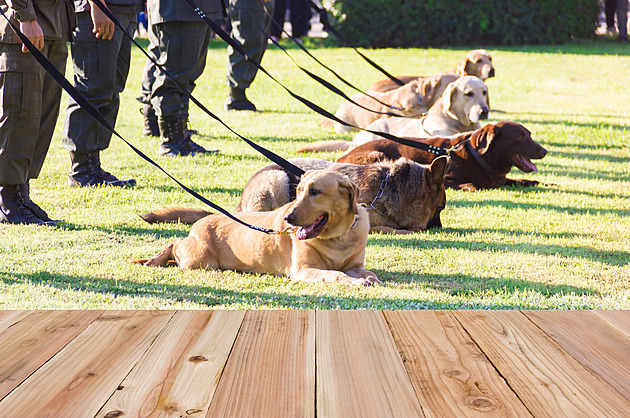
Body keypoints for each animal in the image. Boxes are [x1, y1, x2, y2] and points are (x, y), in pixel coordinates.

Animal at [132, 169, 380, 284]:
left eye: (315, 192)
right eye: (298, 191)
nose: (288, 218)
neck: (337, 239)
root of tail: (206, 218)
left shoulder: (354, 264)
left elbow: (366, 271)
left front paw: (369, 278)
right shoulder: (304, 270)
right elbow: (335, 274)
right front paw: (355, 282)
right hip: (200, 259)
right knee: (175, 243)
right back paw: (155, 260)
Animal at [338, 121, 552, 192]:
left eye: (529, 134)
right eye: (520, 137)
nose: (544, 152)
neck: (478, 157)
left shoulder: (502, 178)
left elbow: (524, 180)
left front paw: (547, 183)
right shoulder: (446, 178)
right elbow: (472, 185)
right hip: (377, 154)